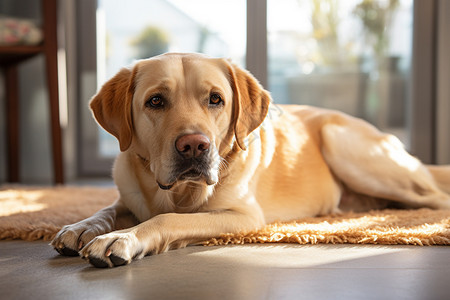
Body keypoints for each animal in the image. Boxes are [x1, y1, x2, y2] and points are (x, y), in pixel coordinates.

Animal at [51, 52, 450, 268]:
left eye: (215, 99)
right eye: (155, 101)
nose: (194, 146)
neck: (177, 192)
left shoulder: (242, 216)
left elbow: (168, 219)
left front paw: (124, 238)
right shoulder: (129, 196)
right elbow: (107, 209)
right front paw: (82, 227)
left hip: (345, 145)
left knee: (436, 198)